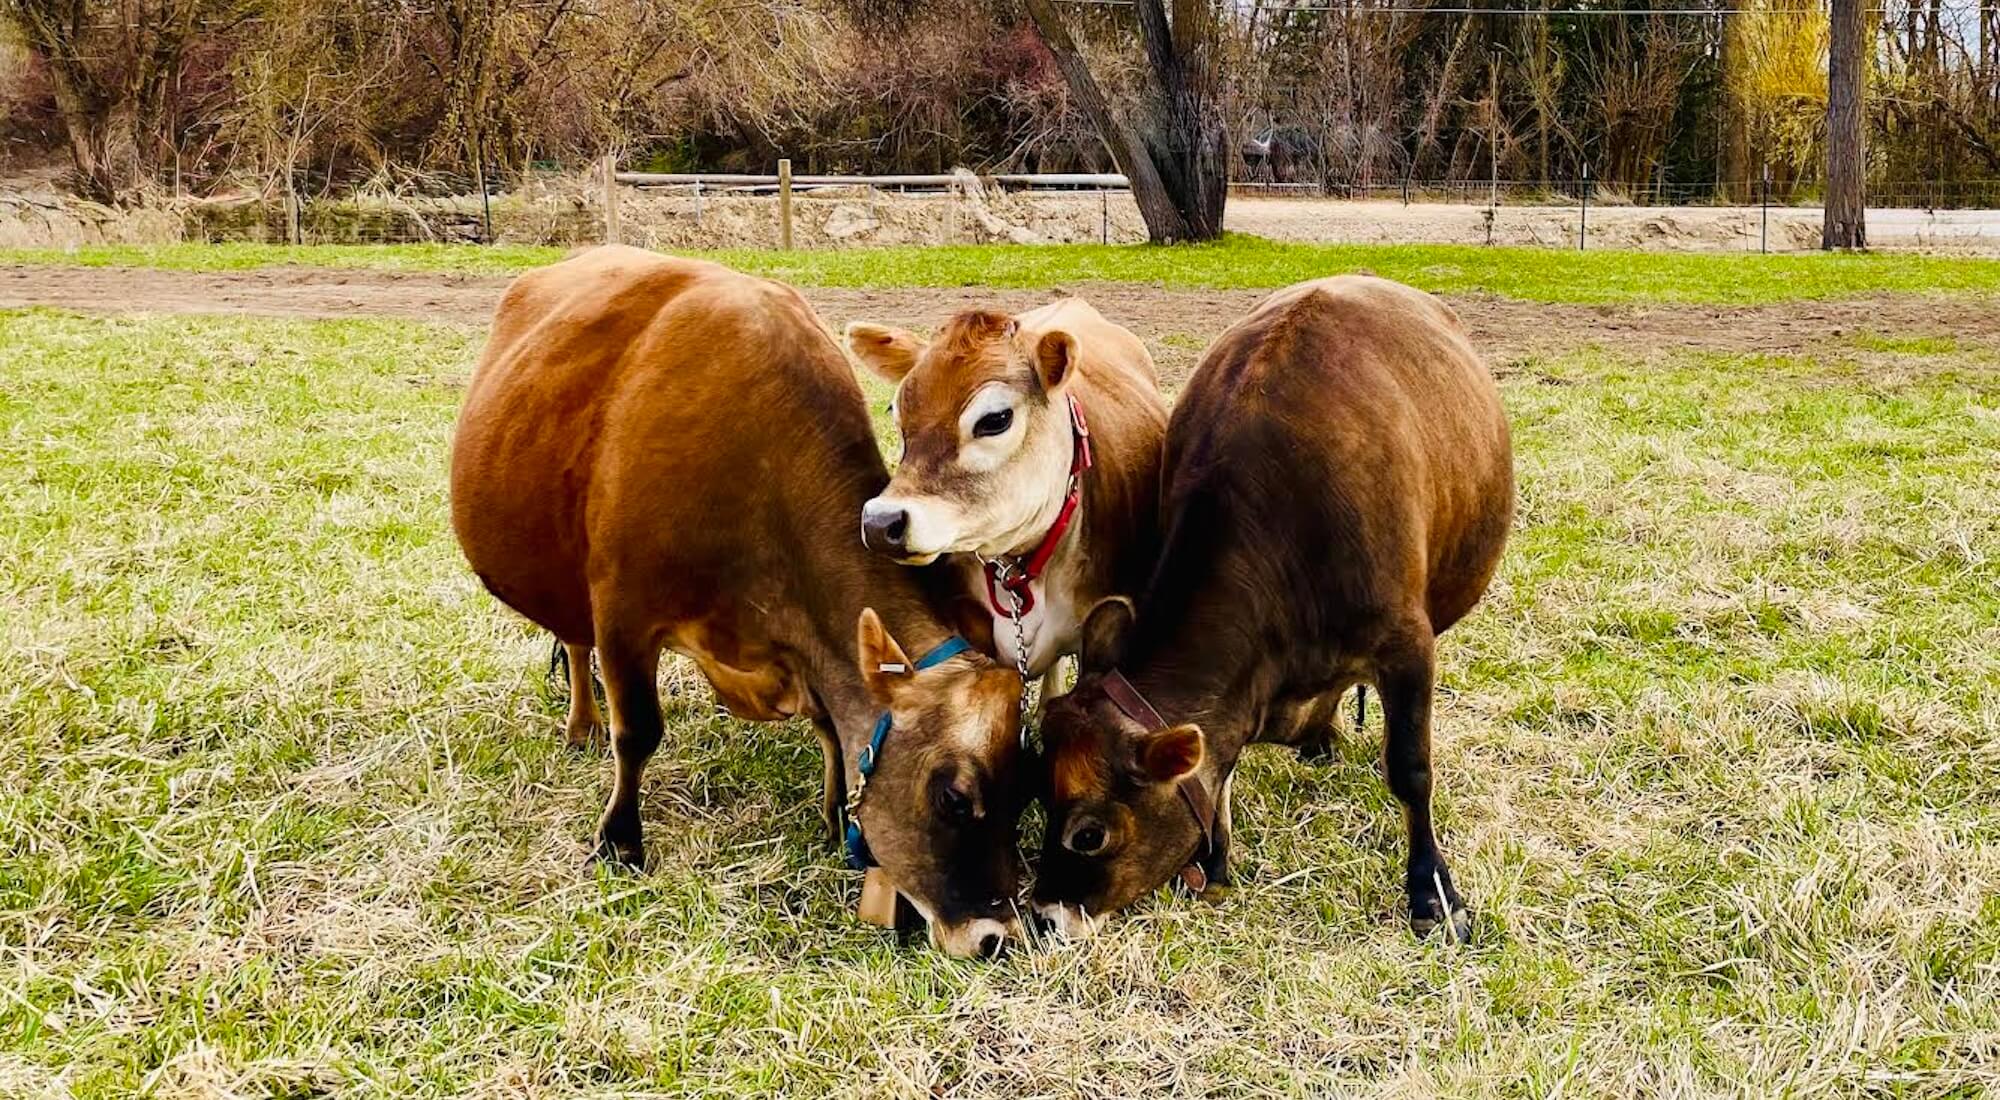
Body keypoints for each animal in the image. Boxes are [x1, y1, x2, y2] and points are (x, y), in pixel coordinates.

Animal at [450, 246, 1028, 958]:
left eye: (1025, 793)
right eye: (952, 796)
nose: (999, 936)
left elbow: (831, 727)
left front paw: (832, 819)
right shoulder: (622, 613)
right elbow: (637, 730)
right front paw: (619, 841)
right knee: (576, 643)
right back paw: (582, 725)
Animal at [1030, 276, 1513, 943]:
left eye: (1089, 834)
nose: (1043, 917)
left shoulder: (1408, 644)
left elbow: (1411, 766)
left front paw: (1432, 891)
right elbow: (1221, 763)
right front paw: (1216, 858)